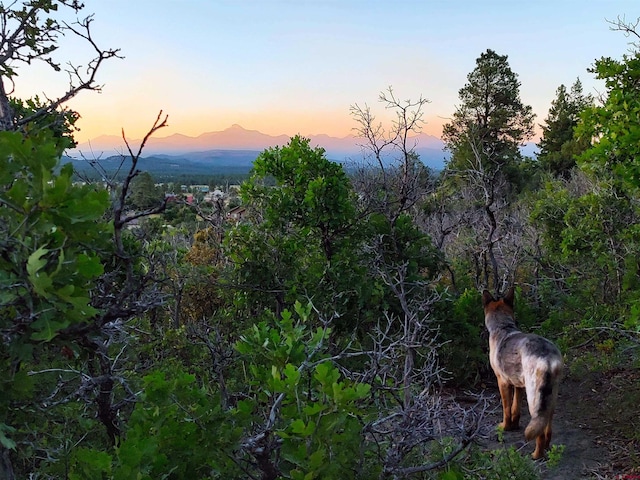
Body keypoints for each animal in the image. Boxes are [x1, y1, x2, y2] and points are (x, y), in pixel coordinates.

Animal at [482, 286, 564, 460]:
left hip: (534, 399)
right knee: (547, 429)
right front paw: (515, 424)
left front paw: (505, 427)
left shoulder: (503, 382)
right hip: (551, 399)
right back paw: (546, 448)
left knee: (540, 433)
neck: (503, 327)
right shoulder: (519, 385)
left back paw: (536, 455)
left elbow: (506, 409)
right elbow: (515, 408)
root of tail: (547, 358)